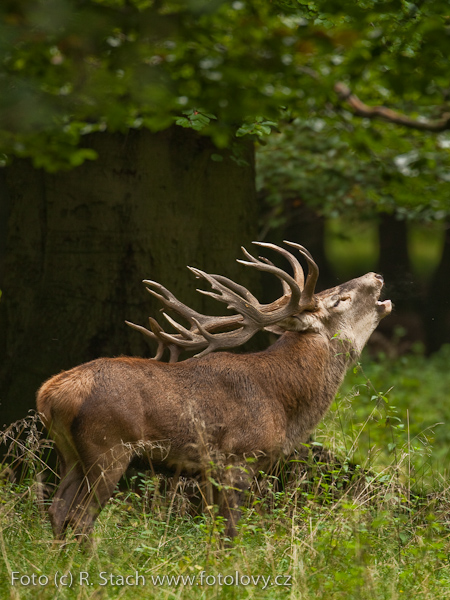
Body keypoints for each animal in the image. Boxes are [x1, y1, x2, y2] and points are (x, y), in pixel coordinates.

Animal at [37, 241, 390, 540]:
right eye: (339, 299)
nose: (377, 275)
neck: (283, 402)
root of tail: (47, 395)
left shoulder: (209, 471)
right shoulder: (238, 458)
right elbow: (230, 532)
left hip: (70, 453)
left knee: (57, 510)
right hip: (108, 447)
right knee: (80, 518)